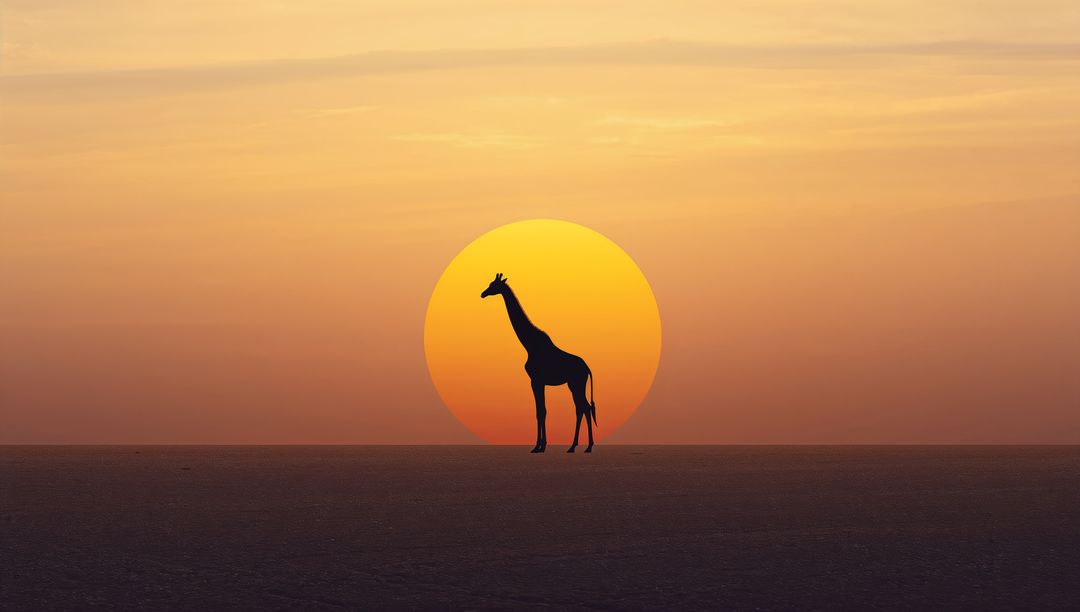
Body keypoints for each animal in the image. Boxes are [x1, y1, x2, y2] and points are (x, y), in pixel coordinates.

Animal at [481, 273, 597, 453]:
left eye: (493, 285)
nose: (483, 294)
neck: (529, 344)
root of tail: (587, 368)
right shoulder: (538, 381)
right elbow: (541, 411)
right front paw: (541, 445)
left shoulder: (535, 380)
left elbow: (540, 411)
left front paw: (538, 446)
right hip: (573, 385)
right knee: (581, 408)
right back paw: (574, 446)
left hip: (576, 383)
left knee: (585, 407)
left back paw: (587, 446)